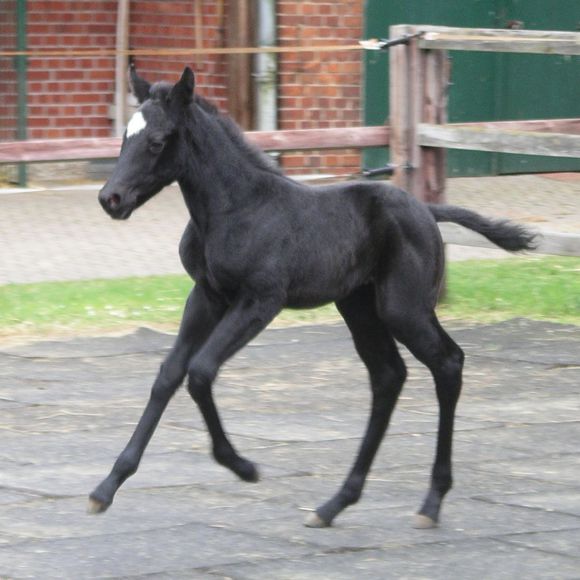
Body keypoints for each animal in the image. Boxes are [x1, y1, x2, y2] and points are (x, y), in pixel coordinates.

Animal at [88, 68, 536, 532]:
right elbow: (168, 375)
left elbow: (200, 372)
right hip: (359, 307)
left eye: (158, 141)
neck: (236, 208)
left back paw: (431, 502)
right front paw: (107, 487)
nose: (111, 199)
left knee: (447, 363)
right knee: (388, 376)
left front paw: (242, 466)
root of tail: (428, 212)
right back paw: (335, 503)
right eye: (125, 137)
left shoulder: (260, 300)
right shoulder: (206, 296)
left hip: (403, 308)